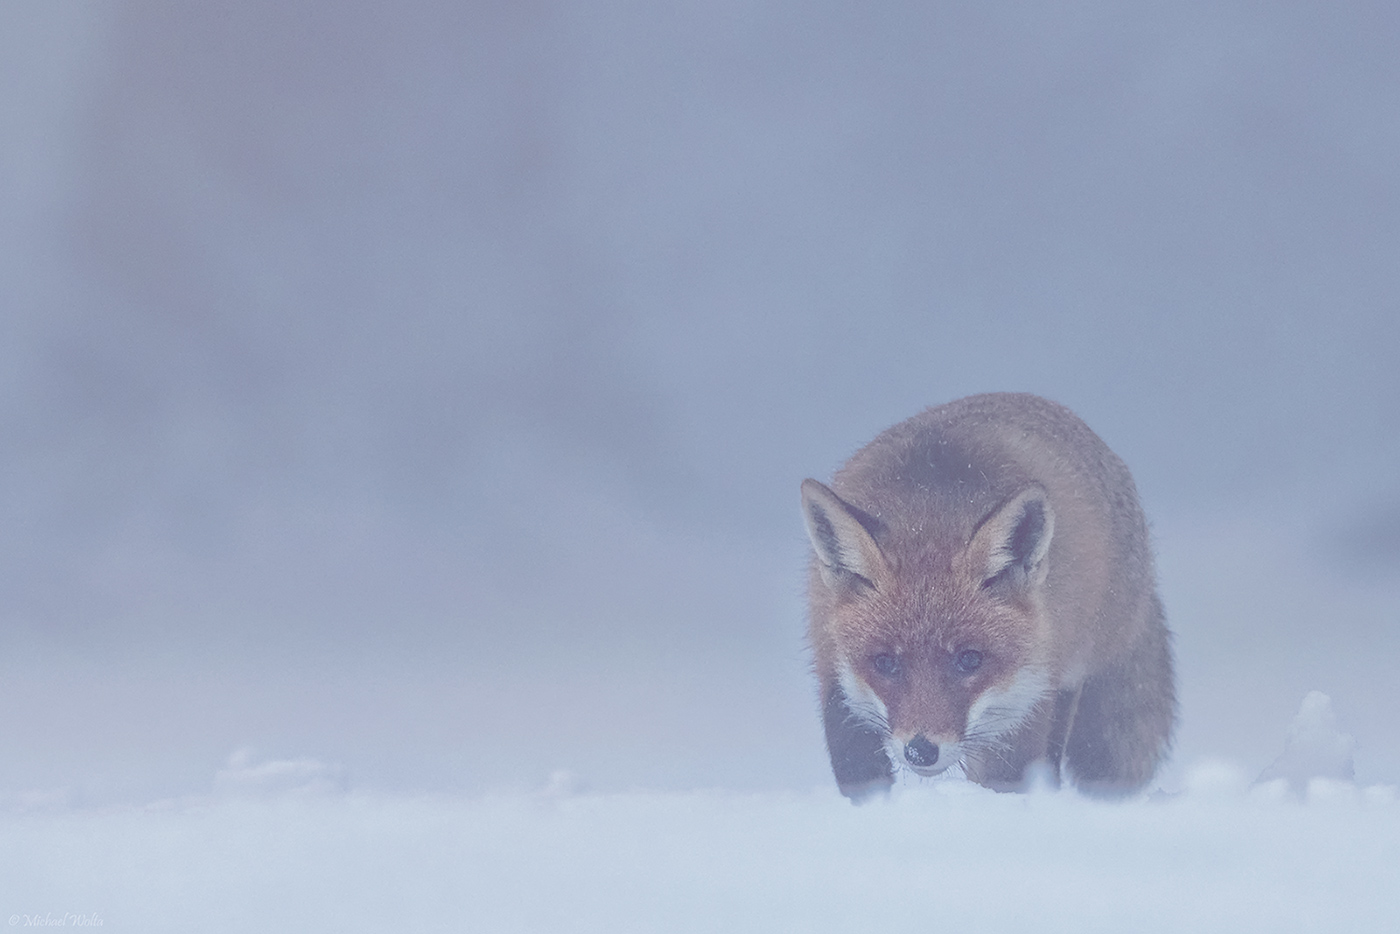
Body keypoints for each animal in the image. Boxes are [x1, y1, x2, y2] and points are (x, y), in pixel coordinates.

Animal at [806, 394, 1176, 806]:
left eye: (970, 659)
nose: (921, 750)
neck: (928, 514)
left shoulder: (1029, 700)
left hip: (1066, 679)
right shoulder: (833, 674)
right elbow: (859, 777)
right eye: (885, 662)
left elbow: (1009, 777)